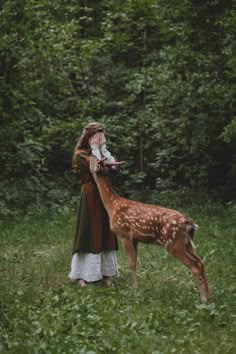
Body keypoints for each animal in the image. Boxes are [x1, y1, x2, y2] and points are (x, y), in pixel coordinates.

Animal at [89, 156, 213, 302]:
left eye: (93, 160)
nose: (89, 156)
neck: (112, 205)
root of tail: (189, 223)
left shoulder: (124, 234)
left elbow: (131, 263)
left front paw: (135, 289)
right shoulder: (135, 239)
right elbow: (135, 262)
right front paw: (136, 287)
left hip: (174, 243)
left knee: (195, 266)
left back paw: (203, 299)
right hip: (187, 243)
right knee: (201, 262)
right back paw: (210, 297)